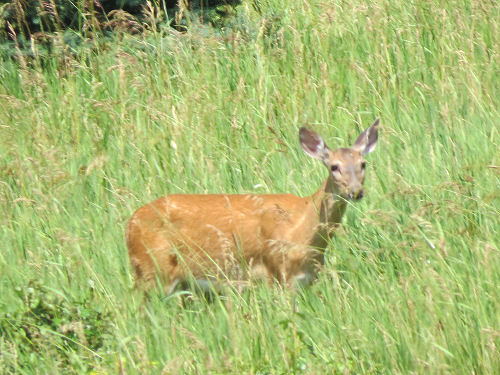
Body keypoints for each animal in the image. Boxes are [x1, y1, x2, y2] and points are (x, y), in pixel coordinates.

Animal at [126, 120, 378, 294]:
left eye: (363, 164)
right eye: (334, 167)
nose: (356, 191)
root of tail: (130, 224)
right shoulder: (278, 274)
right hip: (152, 271)